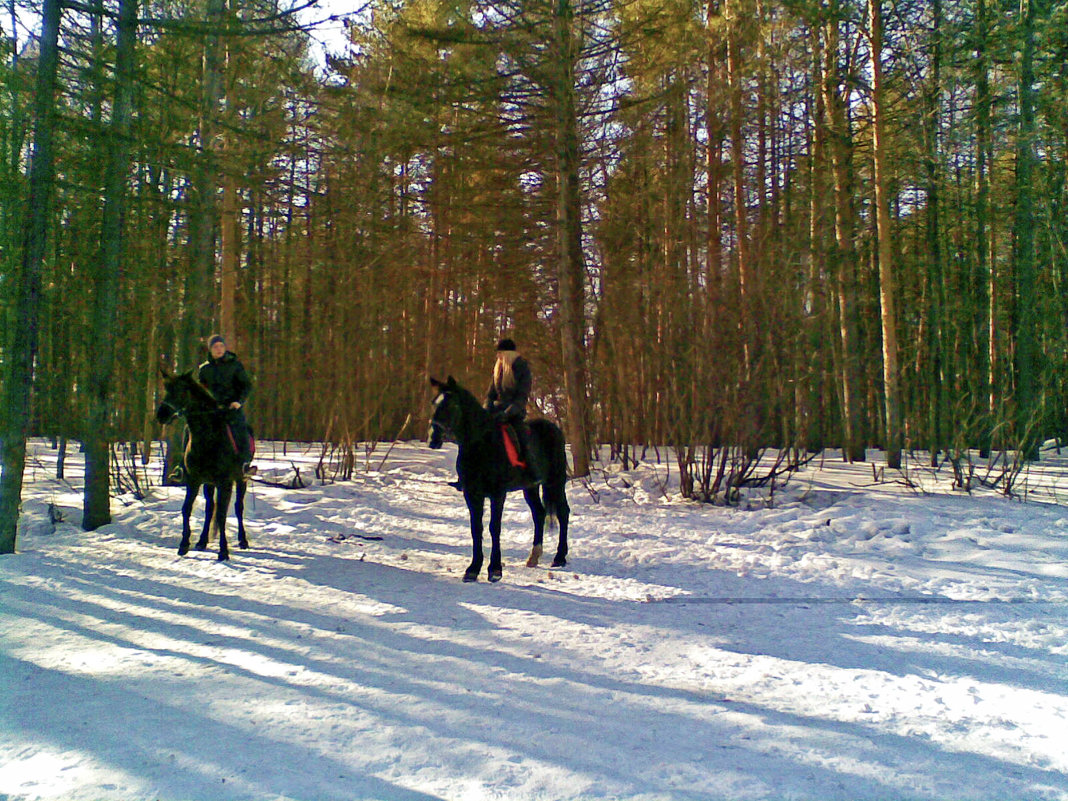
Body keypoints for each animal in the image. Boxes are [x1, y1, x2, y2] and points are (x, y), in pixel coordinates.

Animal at [154, 369, 247, 559]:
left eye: (181, 391)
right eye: (166, 390)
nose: (161, 415)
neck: (207, 439)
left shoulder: (224, 482)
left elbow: (222, 515)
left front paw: (223, 551)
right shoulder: (194, 480)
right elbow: (187, 509)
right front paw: (184, 545)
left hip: (241, 479)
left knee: (238, 507)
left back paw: (243, 540)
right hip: (209, 484)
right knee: (210, 508)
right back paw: (202, 541)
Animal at [429, 375, 572, 585]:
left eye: (452, 404)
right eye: (434, 403)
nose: (433, 438)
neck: (481, 445)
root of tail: (555, 429)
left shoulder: (497, 494)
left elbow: (494, 527)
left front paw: (494, 570)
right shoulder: (472, 494)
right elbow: (476, 528)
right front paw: (473, 569)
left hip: (555, 482)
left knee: (563, 513)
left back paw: (559, 557)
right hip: (530, 487)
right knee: (539, 513)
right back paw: (534, 556)